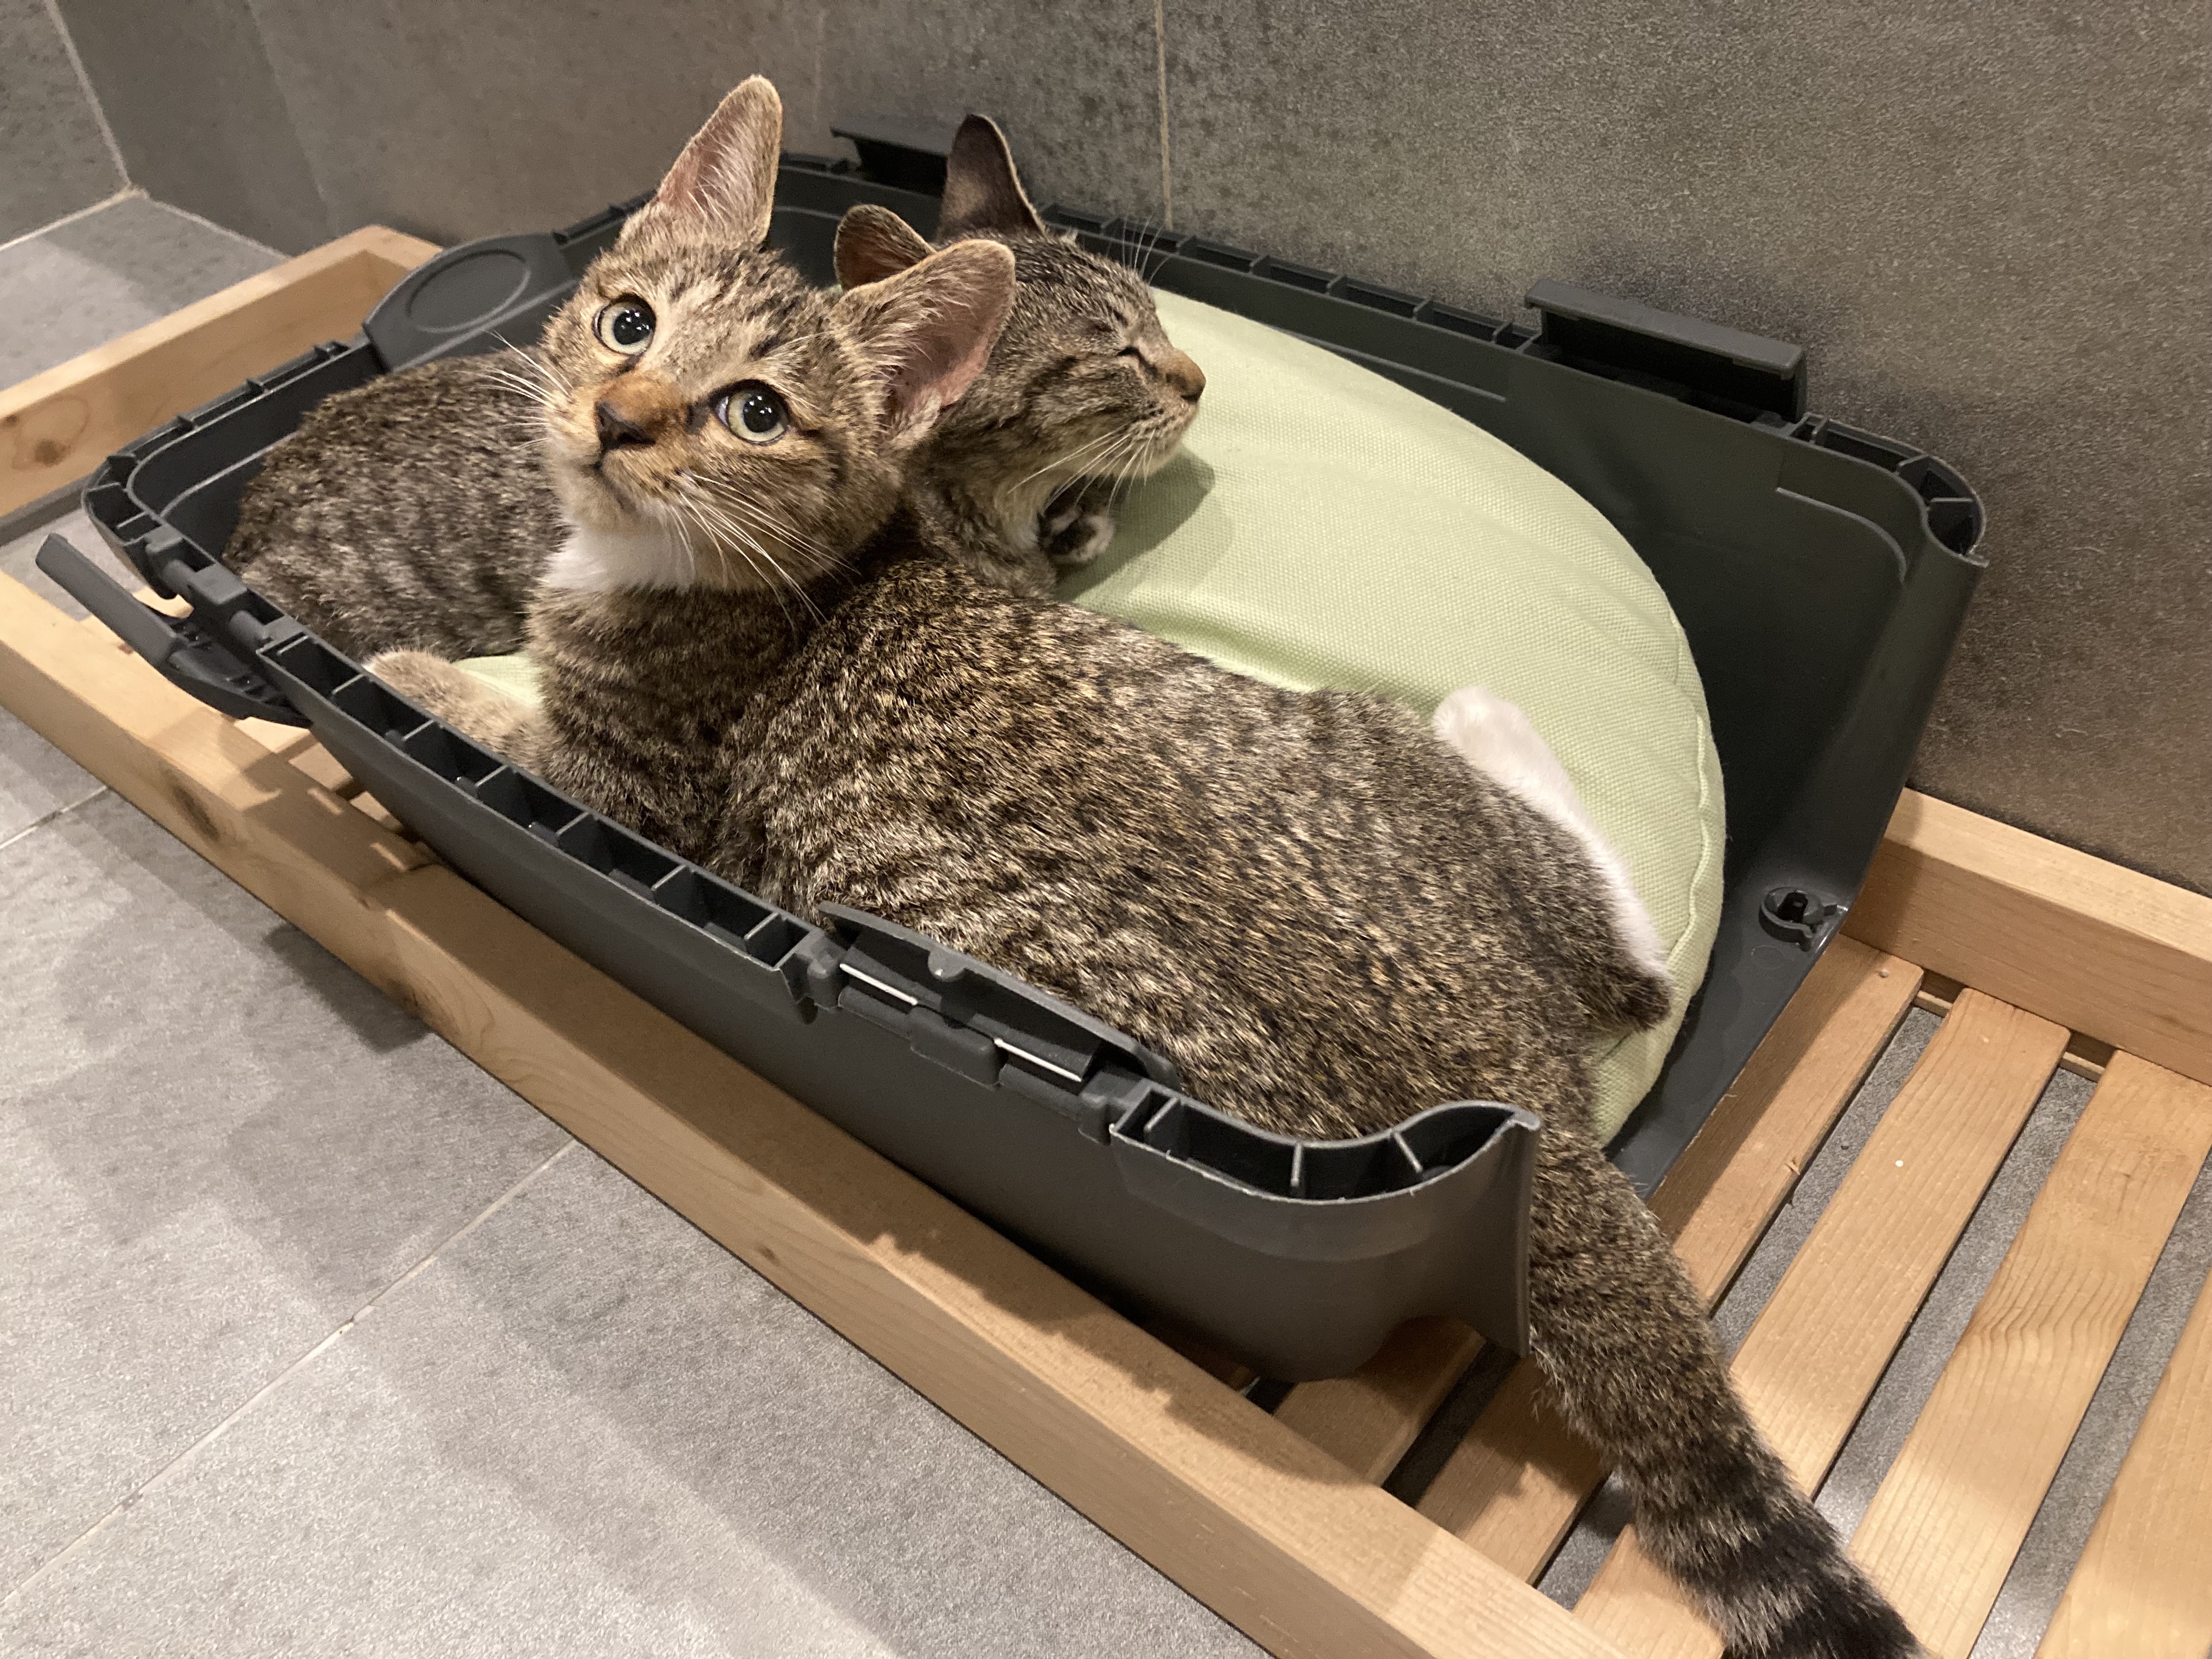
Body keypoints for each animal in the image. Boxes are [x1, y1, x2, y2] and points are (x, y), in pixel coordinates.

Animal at [373, 78, 1918, 1659]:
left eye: (754, 408)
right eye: (627, 324)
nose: (616, 419)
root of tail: (1519, 1109)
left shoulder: (625, 788)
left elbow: (484, 711)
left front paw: (402, 666)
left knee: (1641, 961)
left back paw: (1486, 711)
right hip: (1385, 768)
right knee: (1633, 963)